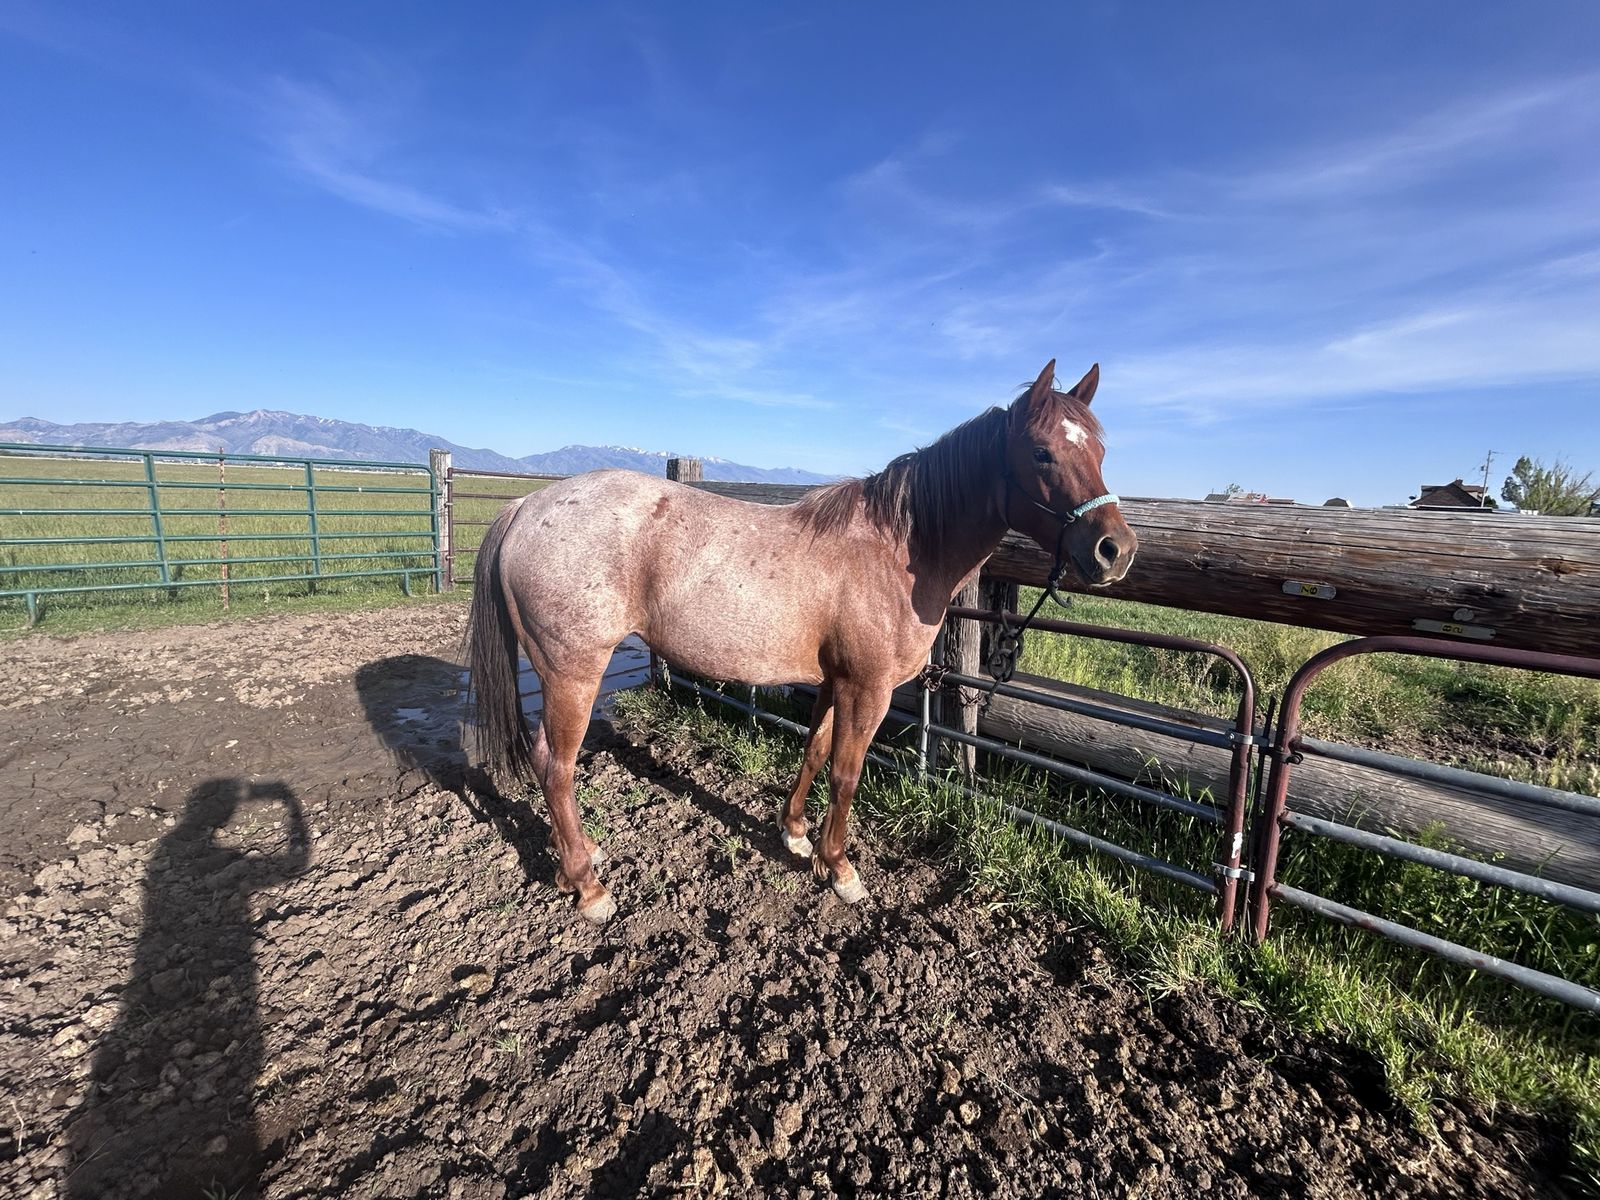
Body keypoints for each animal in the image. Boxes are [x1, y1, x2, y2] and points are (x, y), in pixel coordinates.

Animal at [466, 360, 1137, 922]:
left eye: (1102, 450)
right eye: (1042, 452)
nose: (1116, 550)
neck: (898, 549)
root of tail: (527, 505)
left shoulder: (836, 682)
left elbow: (814, 753)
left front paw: (794, 834)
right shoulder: (868, 688)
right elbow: (847, 773)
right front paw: (839, 868)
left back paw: (584, 859)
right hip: (572, 673)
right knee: (556, 767)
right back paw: (587, 885)